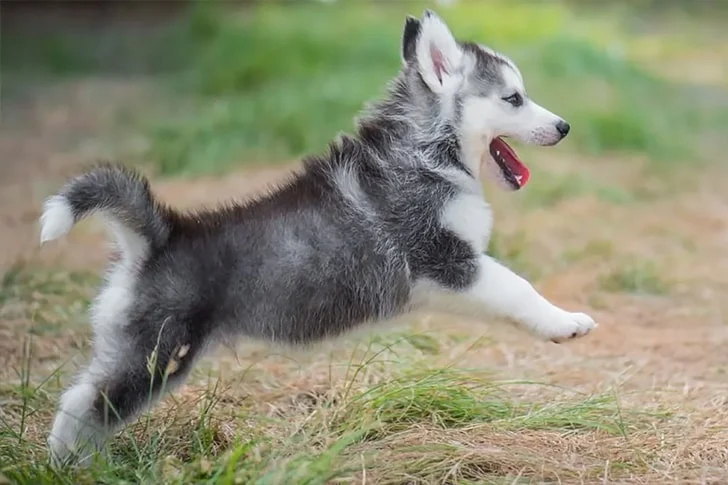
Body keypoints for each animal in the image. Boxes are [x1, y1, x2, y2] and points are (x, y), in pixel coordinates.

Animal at [39, 10, 596, 466]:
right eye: (514, 98)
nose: (566, 126)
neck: (426, 150)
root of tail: (161, 236)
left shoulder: (446, 278)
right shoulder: (446, 259)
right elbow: (518, 287)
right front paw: (565, 323)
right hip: (155, 354)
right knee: (82, 405)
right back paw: (69, 467)